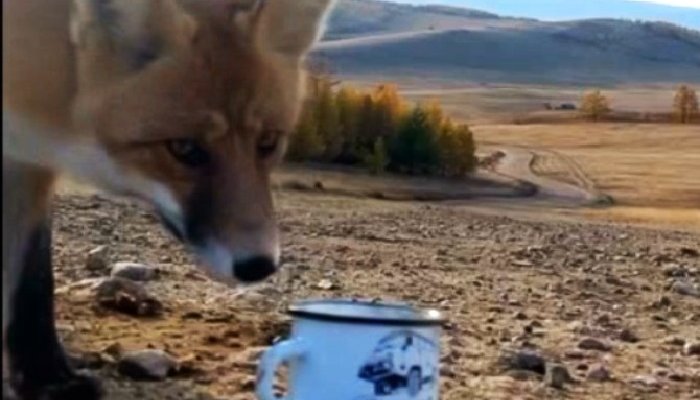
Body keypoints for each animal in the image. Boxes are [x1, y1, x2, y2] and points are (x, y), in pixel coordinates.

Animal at [3, 0, 335, 398]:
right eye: (184, 148)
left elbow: (33, 280)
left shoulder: (31, 159)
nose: (259, 266)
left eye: (268, 142)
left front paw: (46, 375)